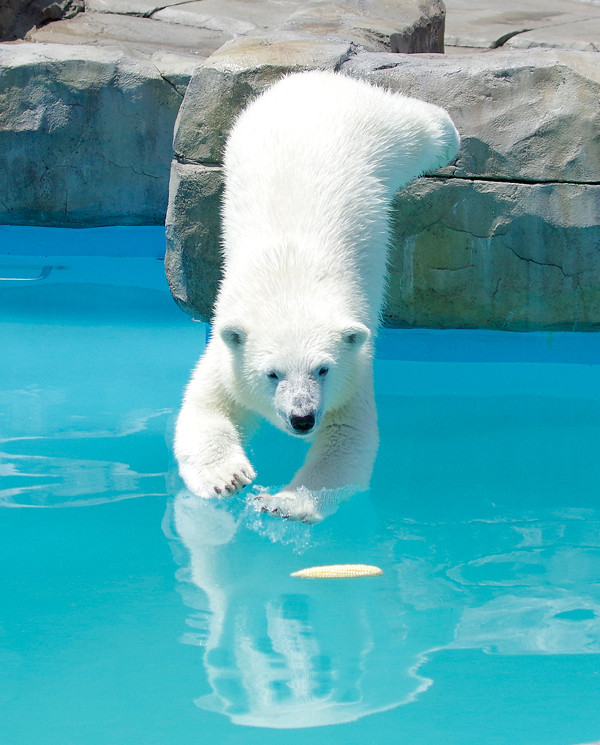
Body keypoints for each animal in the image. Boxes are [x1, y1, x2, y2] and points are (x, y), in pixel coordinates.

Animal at [175, 72, 460, 520]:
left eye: (322, 369)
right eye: (272, 373)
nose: (303, 418)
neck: (288, 286)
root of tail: (315, 77)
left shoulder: (354, 366)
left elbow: (346, 438)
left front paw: (280, 502)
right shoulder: (228, 345)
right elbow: (207, 405)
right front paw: (229, 478)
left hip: (370, 127)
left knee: (417, 128)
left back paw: (450, 136)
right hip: (245, 131)